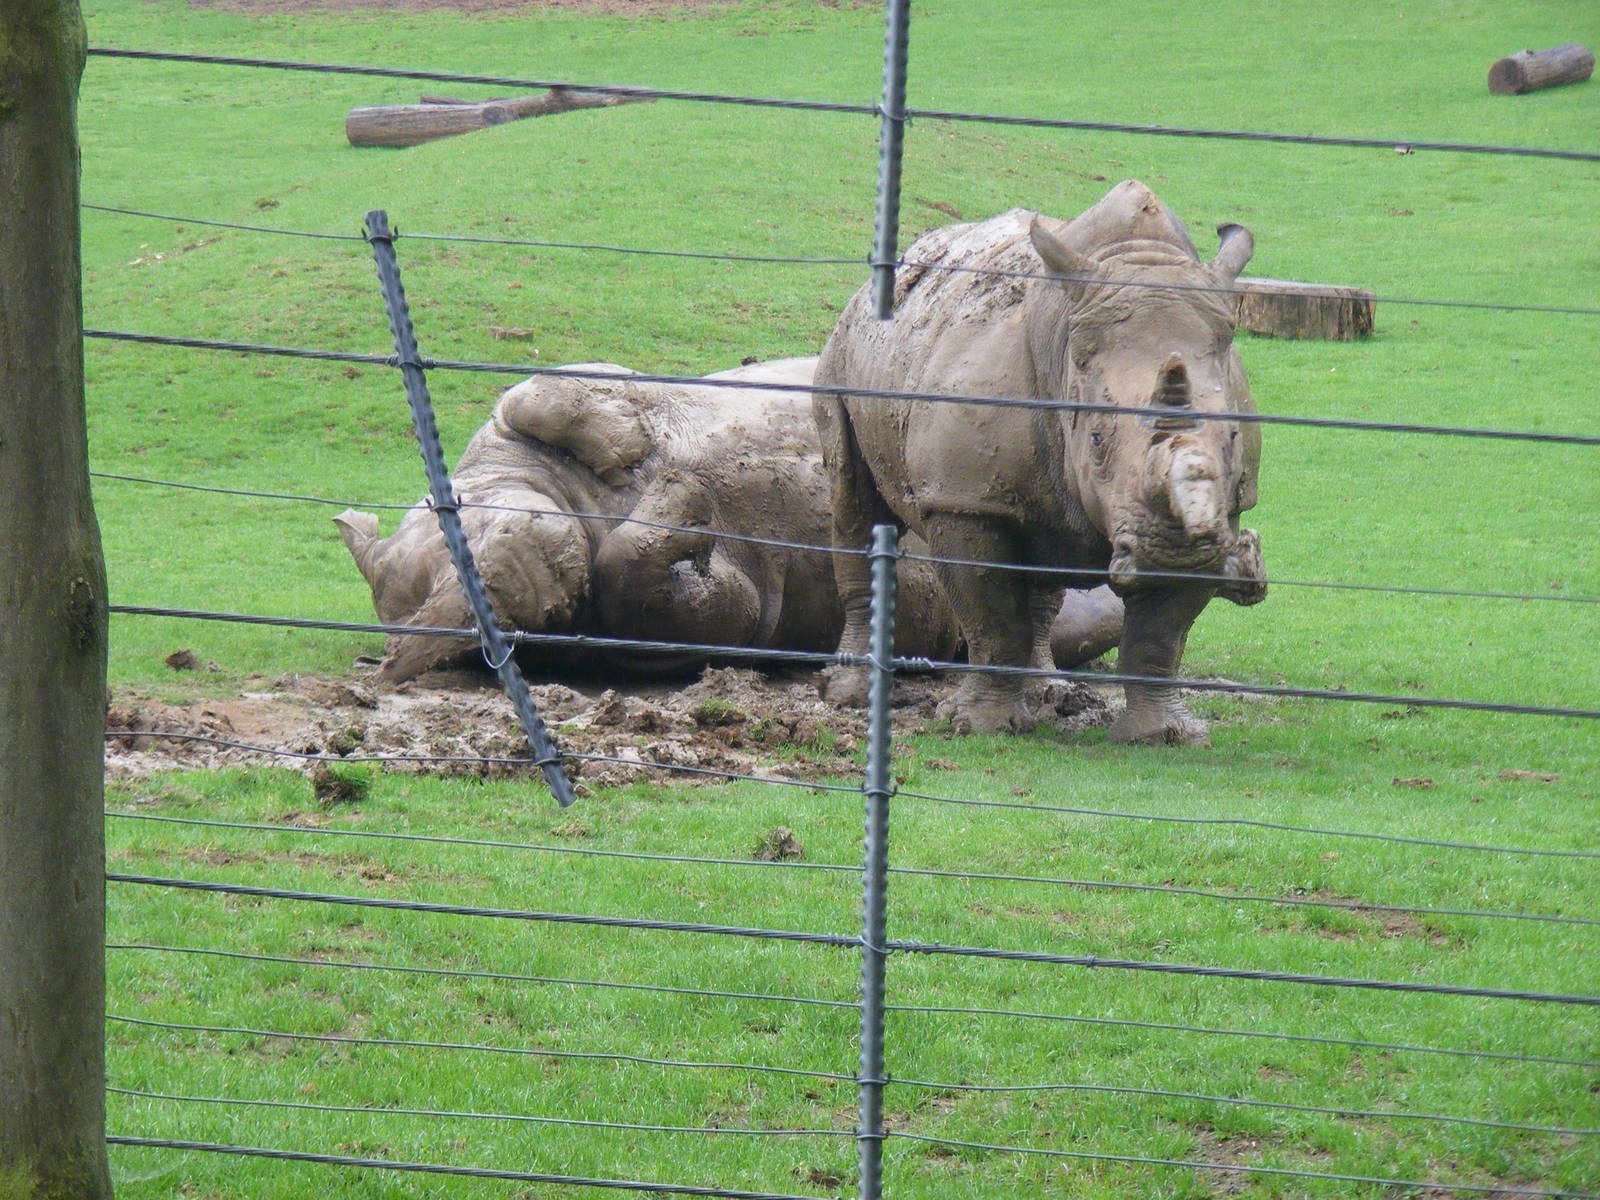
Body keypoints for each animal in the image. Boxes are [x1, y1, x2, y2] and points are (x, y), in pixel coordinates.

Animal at [813, 180, 1267, 743]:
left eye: (1232, 437)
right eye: (1096, 438)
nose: (1173, 554)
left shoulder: (1226, 509)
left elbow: (1159, 638)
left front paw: (1161, 736)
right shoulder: (964, 499)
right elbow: (992, 616)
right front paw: (980, 727)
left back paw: (1050, 693)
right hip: (842, 355)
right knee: (855, 507)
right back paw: (849, 694)